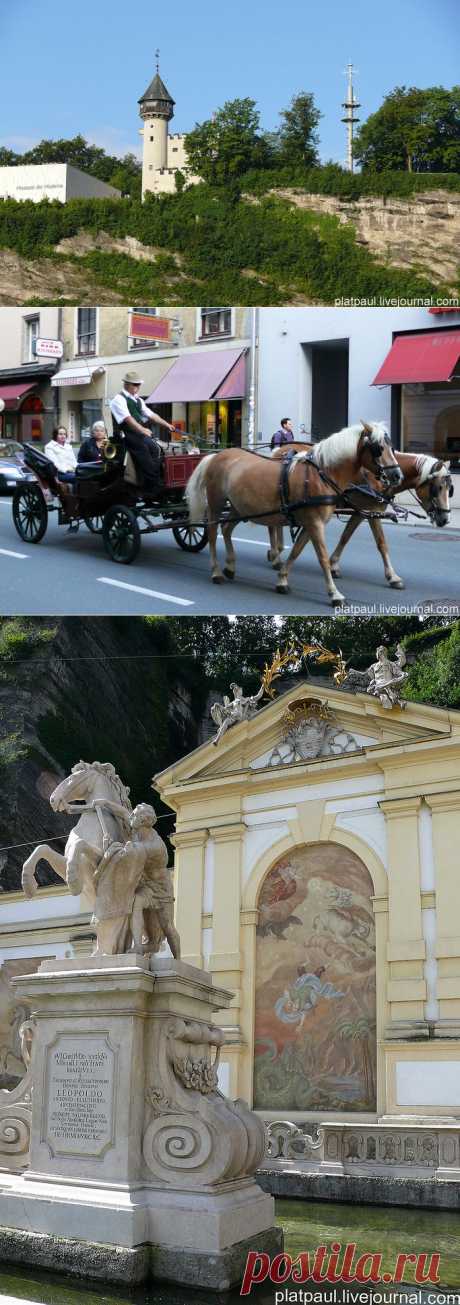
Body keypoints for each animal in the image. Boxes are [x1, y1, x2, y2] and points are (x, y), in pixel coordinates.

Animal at [185, 422, 399, 605]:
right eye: (378, 448)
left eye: (392, 447)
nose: (397, 475)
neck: (321, 474)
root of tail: (216, 455)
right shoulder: (315, 523)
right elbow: (322, 557)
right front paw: (334, 593)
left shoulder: (310, 523)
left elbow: (296, 551)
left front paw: (282, 580)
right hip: (216, 504)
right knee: (213, 534)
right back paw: (216, 572)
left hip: (239, 507)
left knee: (227, 529)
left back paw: (230, 566)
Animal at [271, 448, 452, 592]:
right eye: (437, 488)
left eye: (450, 489)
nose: (445, 519)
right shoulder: (372, 510)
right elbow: (381, 543)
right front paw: (392, 576)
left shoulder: (361, 512)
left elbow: (345, 537)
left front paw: (333, 565)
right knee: (273, 525)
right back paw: (275, 554)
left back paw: (275, 554)